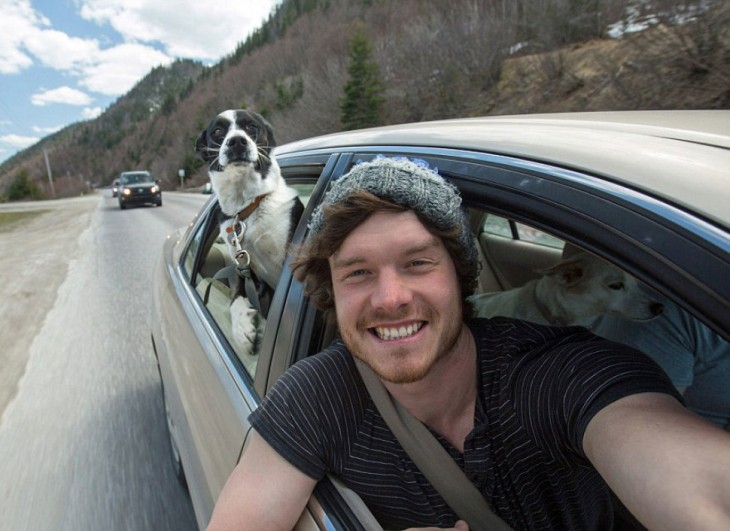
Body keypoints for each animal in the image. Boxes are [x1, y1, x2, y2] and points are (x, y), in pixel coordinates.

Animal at [195, 110, 302, 356]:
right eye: (218, 131)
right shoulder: (244, 268)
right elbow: (236, 298)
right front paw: (242, 329)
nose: (237, 141)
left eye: (252, 127)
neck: (247, 206)